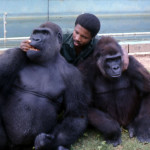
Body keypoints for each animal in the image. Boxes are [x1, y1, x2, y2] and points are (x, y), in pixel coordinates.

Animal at [0, 21, 88, 149]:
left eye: (45, 33)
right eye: (35, 33)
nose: (35, 39)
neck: (47, 62)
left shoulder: (74, 76)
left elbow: (75, 115)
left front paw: (46, 142)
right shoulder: (13, 55)